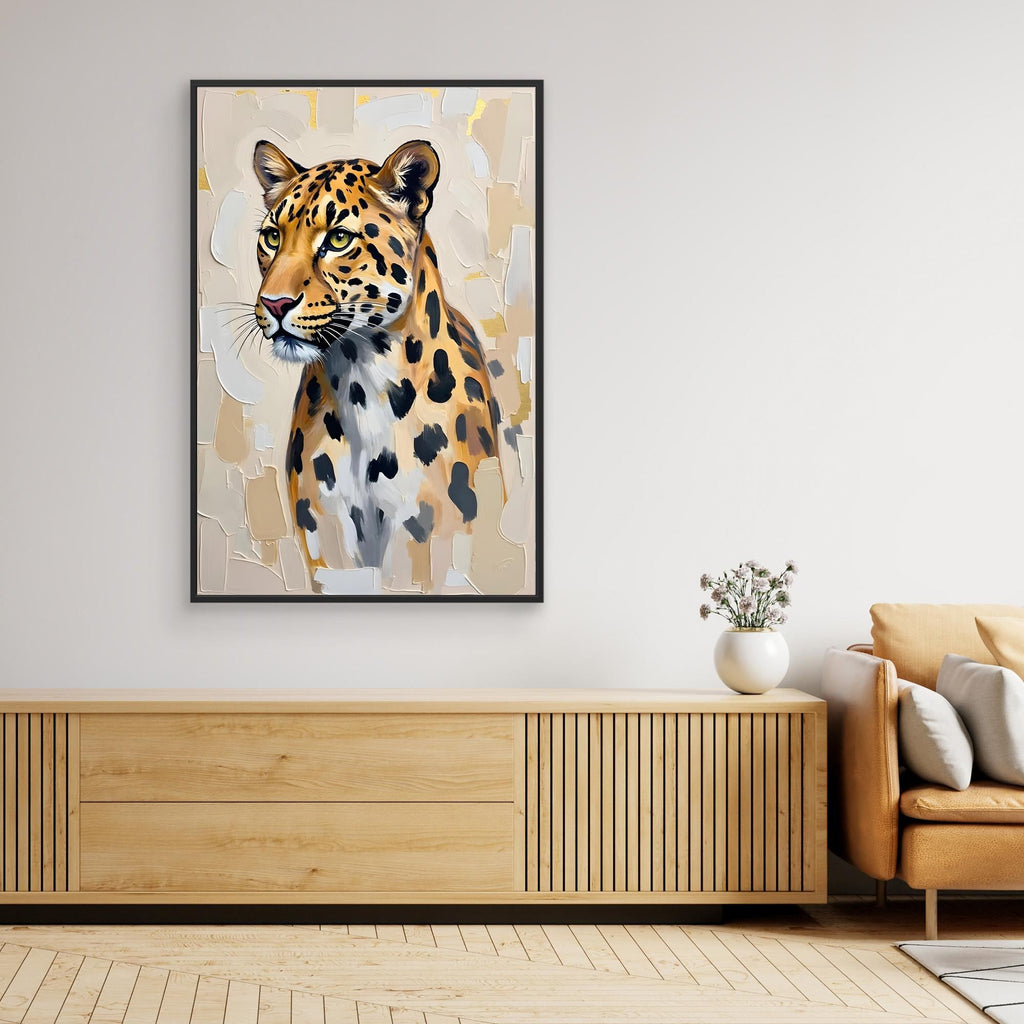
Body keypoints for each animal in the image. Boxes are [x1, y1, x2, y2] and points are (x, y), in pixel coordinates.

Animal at [251, 139, 504, 594]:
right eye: (272, 236)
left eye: (338, 238)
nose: (274, 303)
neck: (360, 381)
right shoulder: (327, 538)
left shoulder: (425, 537)